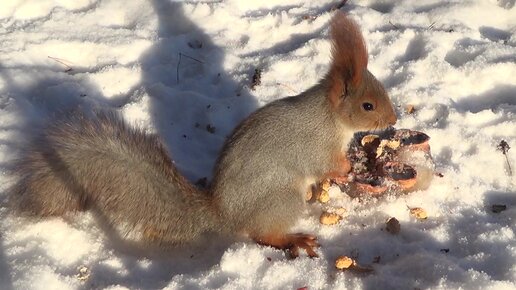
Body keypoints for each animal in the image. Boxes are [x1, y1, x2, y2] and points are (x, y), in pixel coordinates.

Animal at [8, 11, 398, 258]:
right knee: (262, 234)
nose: (393, 117)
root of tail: (224, 215)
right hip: (283, 198)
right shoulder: (316, 144)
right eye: (367, 105)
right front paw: (347, 169)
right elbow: (325, 164)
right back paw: (294, 239)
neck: (330, 117)